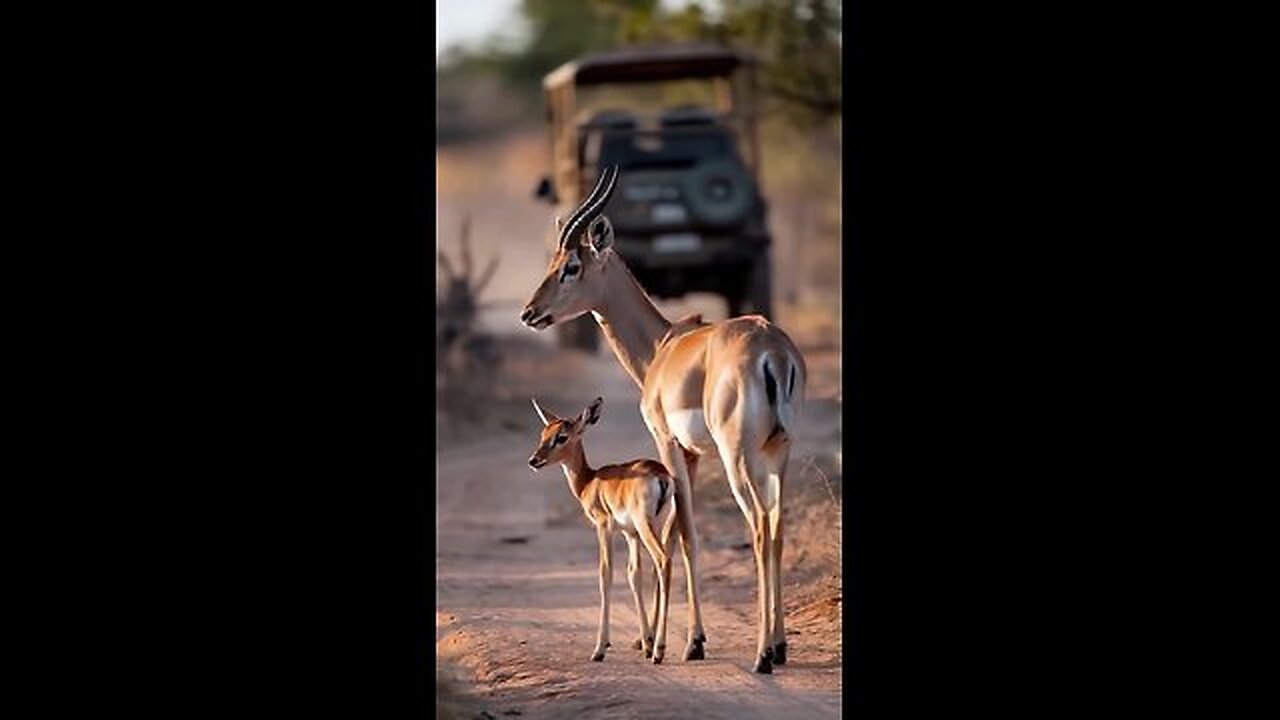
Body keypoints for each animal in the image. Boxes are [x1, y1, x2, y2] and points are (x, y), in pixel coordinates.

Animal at [524, 392, 680, 661]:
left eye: (561, 437)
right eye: (543, 434)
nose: (534, 460)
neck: (590, 481)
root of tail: (661, 476)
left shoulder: (603, 526)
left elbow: (605, 574)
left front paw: (600, 648)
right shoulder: (630, 534)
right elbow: (633, 574)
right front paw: (645, 641)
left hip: (646, 527)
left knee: (662, 560)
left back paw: (659, 651)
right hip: (658, 527)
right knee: (660, 568)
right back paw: (655, 646)